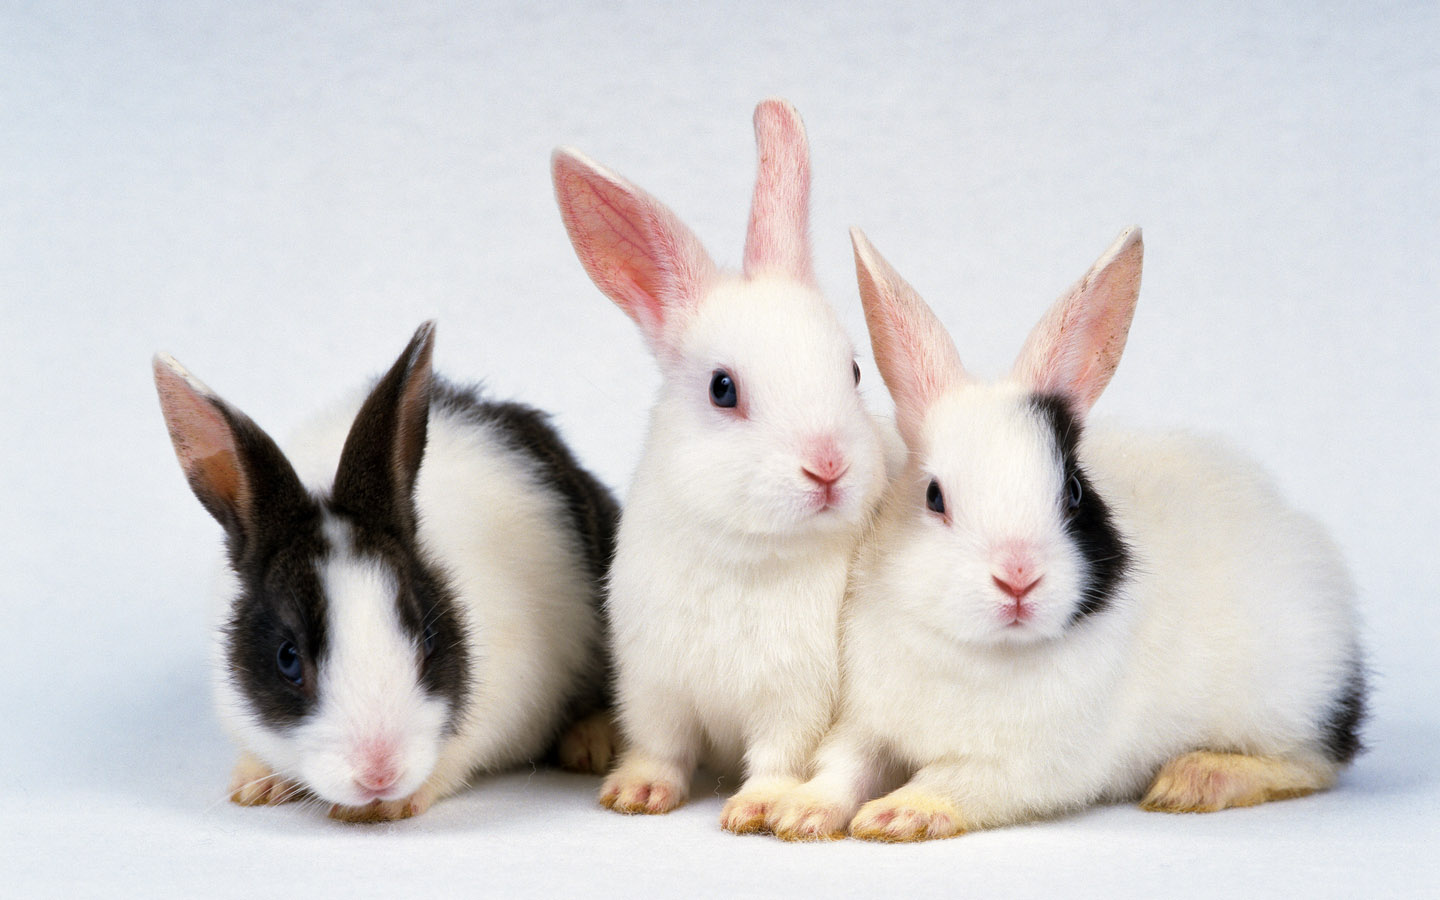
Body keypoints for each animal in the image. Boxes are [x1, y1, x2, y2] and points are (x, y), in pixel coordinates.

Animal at [152, 321, 620, 822]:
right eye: (287, 658)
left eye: (429, 639)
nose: (379, 775)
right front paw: (255, 783)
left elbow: (452, 761)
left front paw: (391, 806)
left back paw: (591, 744)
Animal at [550, 99, 892, 832]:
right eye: (723, 389)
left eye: (852, 372)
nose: (828, 466)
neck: (744, 551)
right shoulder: (655, 686)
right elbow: (660, 746)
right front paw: (636, 794)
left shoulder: (794, 700)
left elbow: (779, 756)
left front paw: (758, 808)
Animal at [767, 227, 1366, 842]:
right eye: (934, 497)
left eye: (1075, 492)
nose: (1018, 578)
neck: (979, 650)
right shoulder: (866, 723)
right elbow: (843, 766)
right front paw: (800, 812)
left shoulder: (1020, 769)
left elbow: (950, 780)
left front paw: (897, 814)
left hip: (1289, 700)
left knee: (1313, 762)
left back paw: (1195, 779)